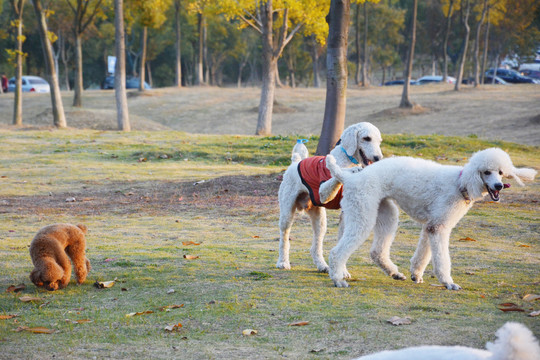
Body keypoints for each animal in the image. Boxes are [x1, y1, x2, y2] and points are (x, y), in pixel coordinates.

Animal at [274, 122, 384, 272]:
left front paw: (342, 271)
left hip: (319, 219)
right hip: (286, 213)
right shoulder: (322, 192)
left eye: (379, 141)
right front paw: (350, 170)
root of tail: (295, 162)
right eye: (366, 138)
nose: (378, 158)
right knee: (284, 237)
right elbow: (337, 174)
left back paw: (322, 265)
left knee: (316, 245)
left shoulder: (344, 212)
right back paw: (283, 262)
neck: (347, 159)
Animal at [324, 148, 536, 288]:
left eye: (501, 172)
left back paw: (394, 273)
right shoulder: (439, 227)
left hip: (386, 212)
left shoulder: (431, 225)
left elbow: (424, 254)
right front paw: (448, 282)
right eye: (486, 172)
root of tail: (349, 177)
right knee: (337, 252)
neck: (460, 183)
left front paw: (416, 275)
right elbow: (441, 258)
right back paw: (338, 278)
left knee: (377, 251)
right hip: (363, 212)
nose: (499, 186)